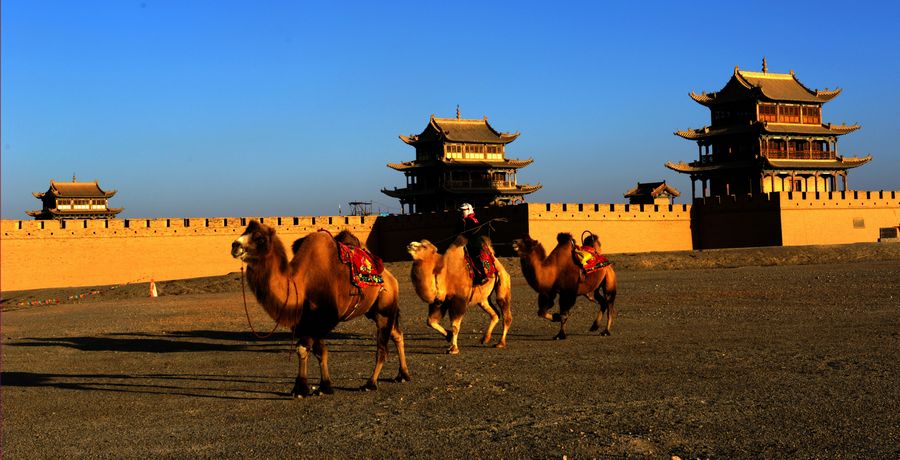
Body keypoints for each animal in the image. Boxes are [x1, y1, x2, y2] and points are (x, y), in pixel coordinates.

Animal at [230, 221, 410, 398]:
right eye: (244, 232)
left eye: (259, 238)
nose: (235, 245)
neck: (301, 283)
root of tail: (391, 277)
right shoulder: (304, 321)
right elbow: (307, 350)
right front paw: (307, 388)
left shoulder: (325, 319)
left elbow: (315, 349)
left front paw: (318, 387)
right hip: (373, 310)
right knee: (397, 334)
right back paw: (403, 375)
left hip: (384, 307)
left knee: (382, 347)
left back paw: (370, 383)